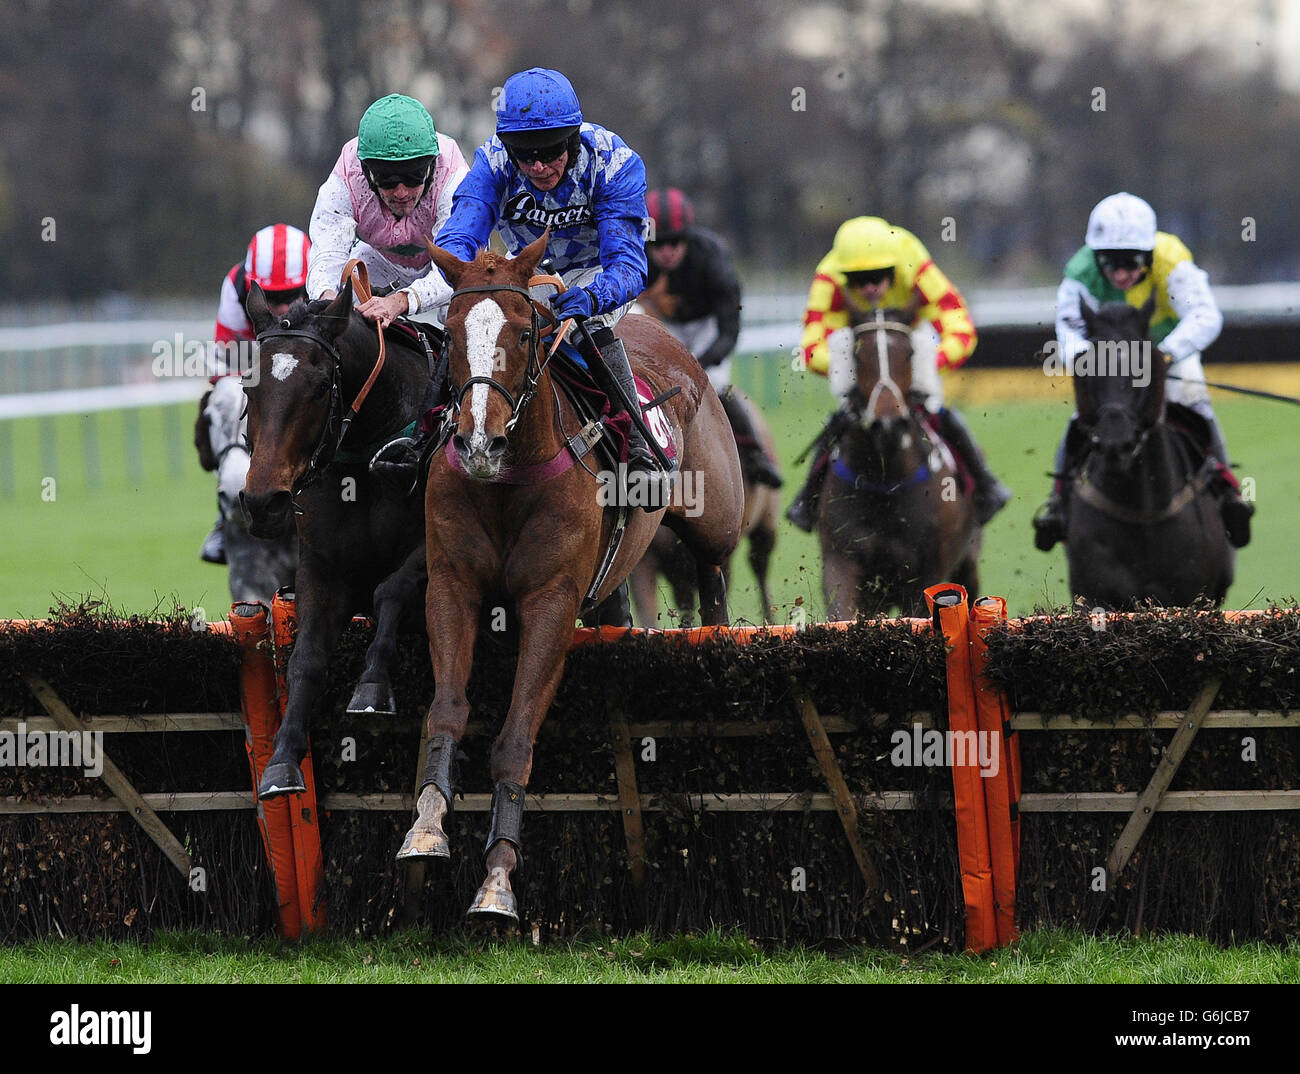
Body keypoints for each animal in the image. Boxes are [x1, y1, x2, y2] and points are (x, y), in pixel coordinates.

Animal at [239, 275, 431, 795]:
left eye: (321, 386)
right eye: (248, 386)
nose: (264, 502)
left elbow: (392, 587)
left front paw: (371, 684)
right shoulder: (321, 568)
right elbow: (305, 659)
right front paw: (282, 760)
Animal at [395, 234, 743, 920]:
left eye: (526, 329)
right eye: (452, 328)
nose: (479, 443)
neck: (507, 482)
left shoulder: (551, 604)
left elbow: (515, 738)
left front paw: (498, 877)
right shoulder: (452, 585)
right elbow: (446, 711)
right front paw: (426, 825)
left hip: (715, 515)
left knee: (713, 571)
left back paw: (714, 640)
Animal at [816, 305, 977, 616]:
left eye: (910, 353)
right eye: (856, 355)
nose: (889, 426)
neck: (885, 483)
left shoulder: (924, 574)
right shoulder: (841, 561)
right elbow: (841, 613)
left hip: (968, 562)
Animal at [1060, 297, 1232, 605]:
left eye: (1143, 367)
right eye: (1088, 367)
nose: (1116, 441)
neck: (1141, 515)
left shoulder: (1193, 596)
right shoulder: (1093, 596)